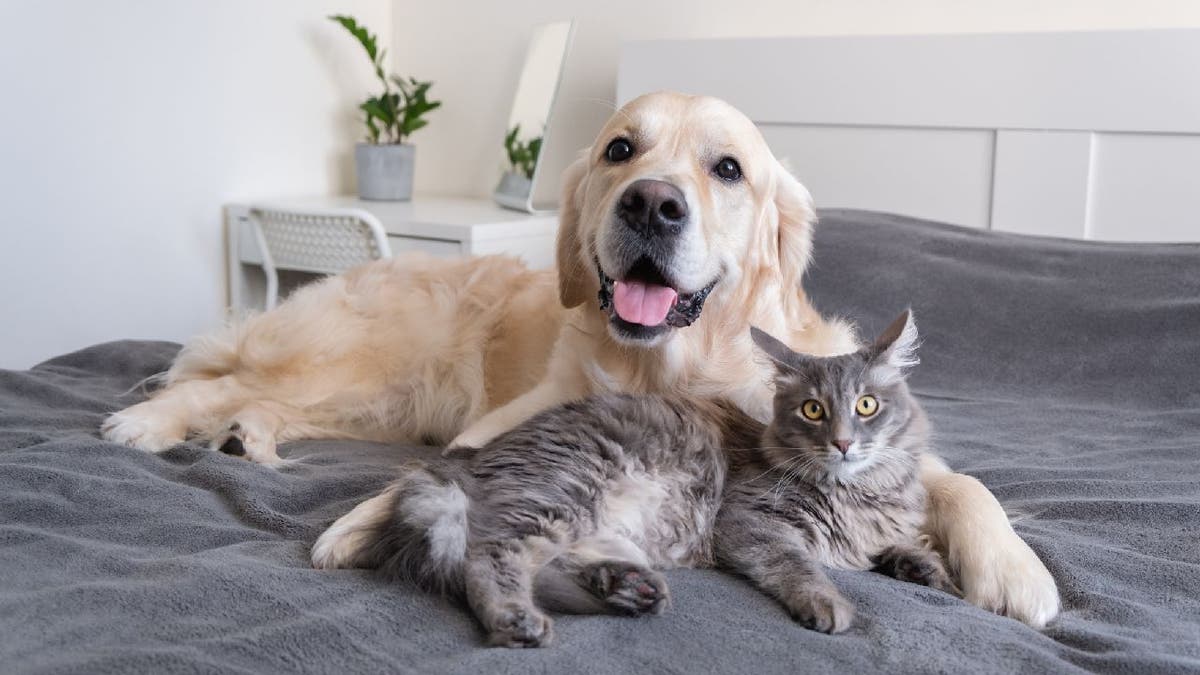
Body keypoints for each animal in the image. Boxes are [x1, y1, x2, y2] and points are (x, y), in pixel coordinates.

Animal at [314, 307, 950, 643]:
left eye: (866, 405)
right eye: (813, 410)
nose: (843, 442)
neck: (859, 492)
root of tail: (462, 461)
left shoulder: (876, 528)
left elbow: (899, 546)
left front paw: (927, 569)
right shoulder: (751, 522)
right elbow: (800, 566)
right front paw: (828, 603)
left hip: (595, 523)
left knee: (555, 565)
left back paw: (626, 589)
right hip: (565, 492)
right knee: (487, 558)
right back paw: (519, 620)